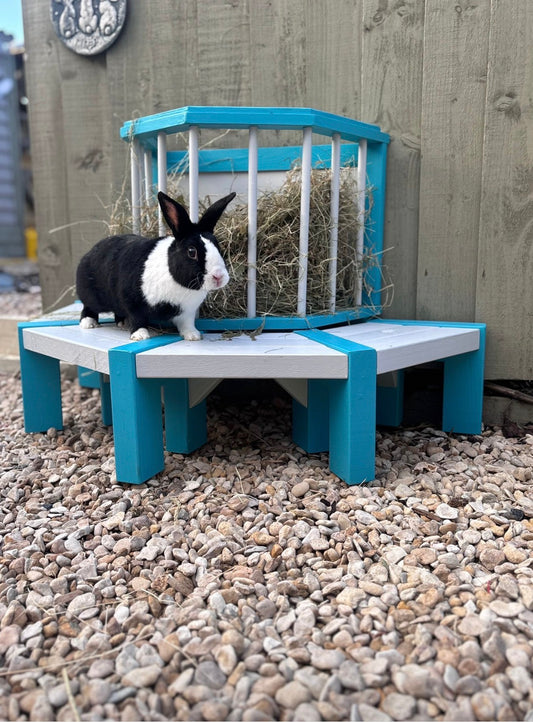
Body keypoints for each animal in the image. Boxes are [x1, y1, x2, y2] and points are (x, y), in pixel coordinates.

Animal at [76, 191, 235, 341]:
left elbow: (187, 324)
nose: (219, 276)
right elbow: (138, 319)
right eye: (192, 252)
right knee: (88, 307)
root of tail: (90, 252)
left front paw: (193, 336)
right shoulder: (132, 302)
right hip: (91, 295)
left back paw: (122, 323)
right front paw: (140, 335)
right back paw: (88, 323)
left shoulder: (187, 312)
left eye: (218, 247)